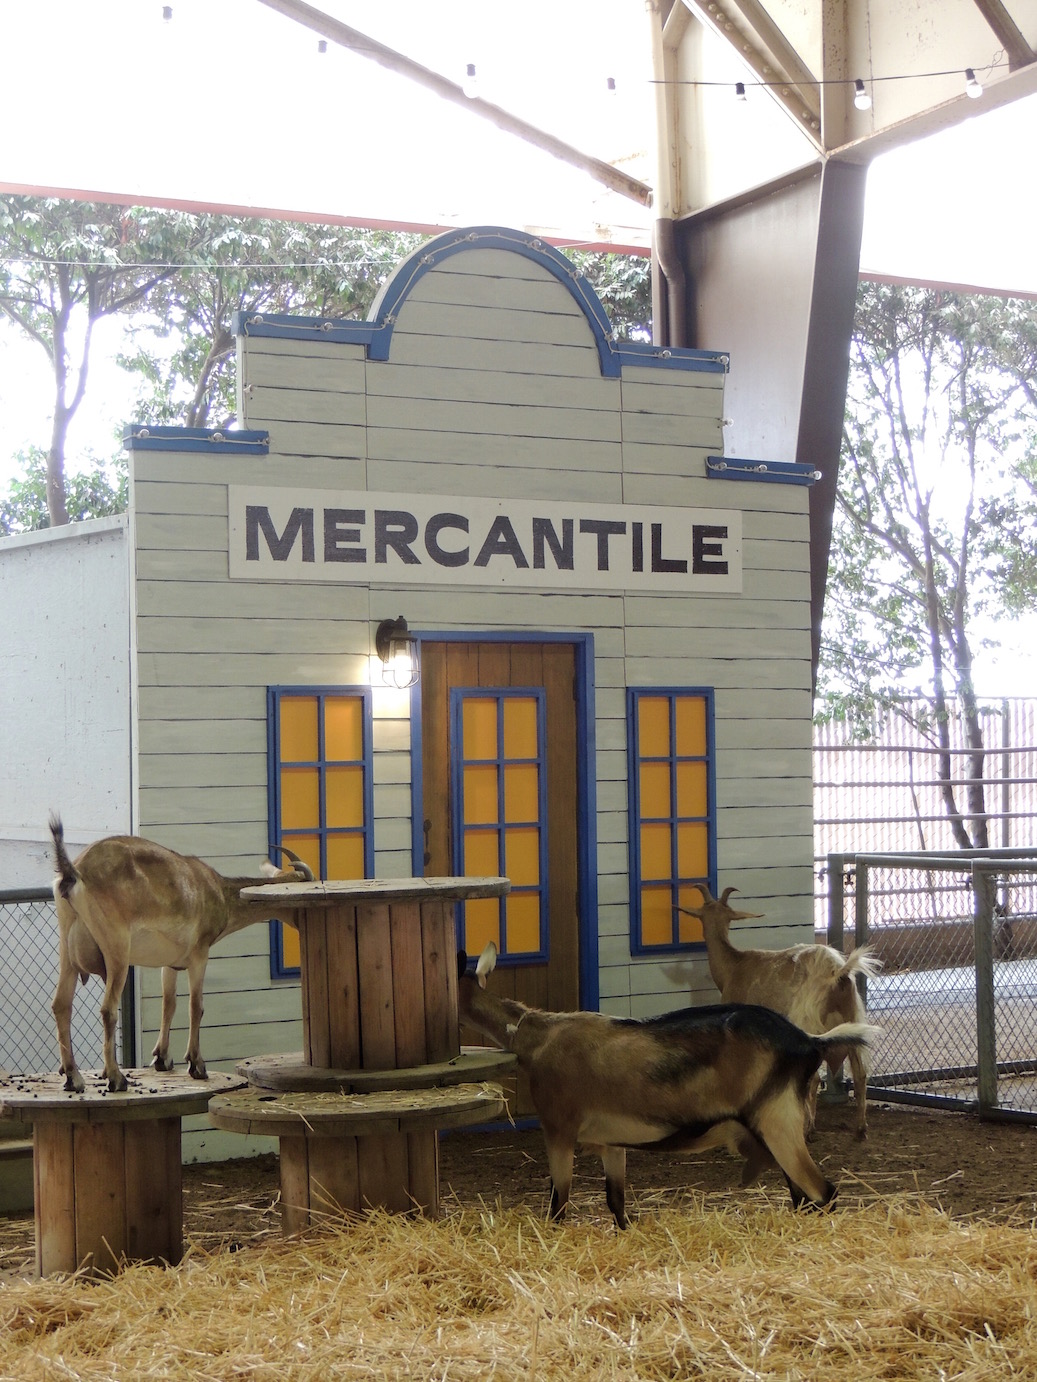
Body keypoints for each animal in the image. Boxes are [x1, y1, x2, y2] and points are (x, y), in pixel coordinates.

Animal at [49, 814, 313, 1093]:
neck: (218, 892)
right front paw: (197, 1065)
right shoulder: (200, 955)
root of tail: (74, 872)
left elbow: (169, 1004)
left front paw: (162, 1058)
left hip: (67, 949)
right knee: (107, 1010)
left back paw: (73, 1077)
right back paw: (116, 1078)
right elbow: (195, 1006)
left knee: (61, 1005)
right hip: (116, 949)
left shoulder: (171, 963)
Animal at [457, 944, 879, 1228]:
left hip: (777, 1121)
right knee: (803, 1195)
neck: (538, 1036)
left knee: (823, 1192)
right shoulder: (612, 1139)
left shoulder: (559, 1127)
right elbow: (616, 1202)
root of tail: (809, 1040)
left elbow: (558, 1204)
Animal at [681, 885, 881, 1139]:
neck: (733, 966)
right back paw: (861, 1129)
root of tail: (839, 973)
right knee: (860, 1074)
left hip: (810, 1026)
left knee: (814, 1078)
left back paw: (808, 1128)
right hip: (853, 1023)